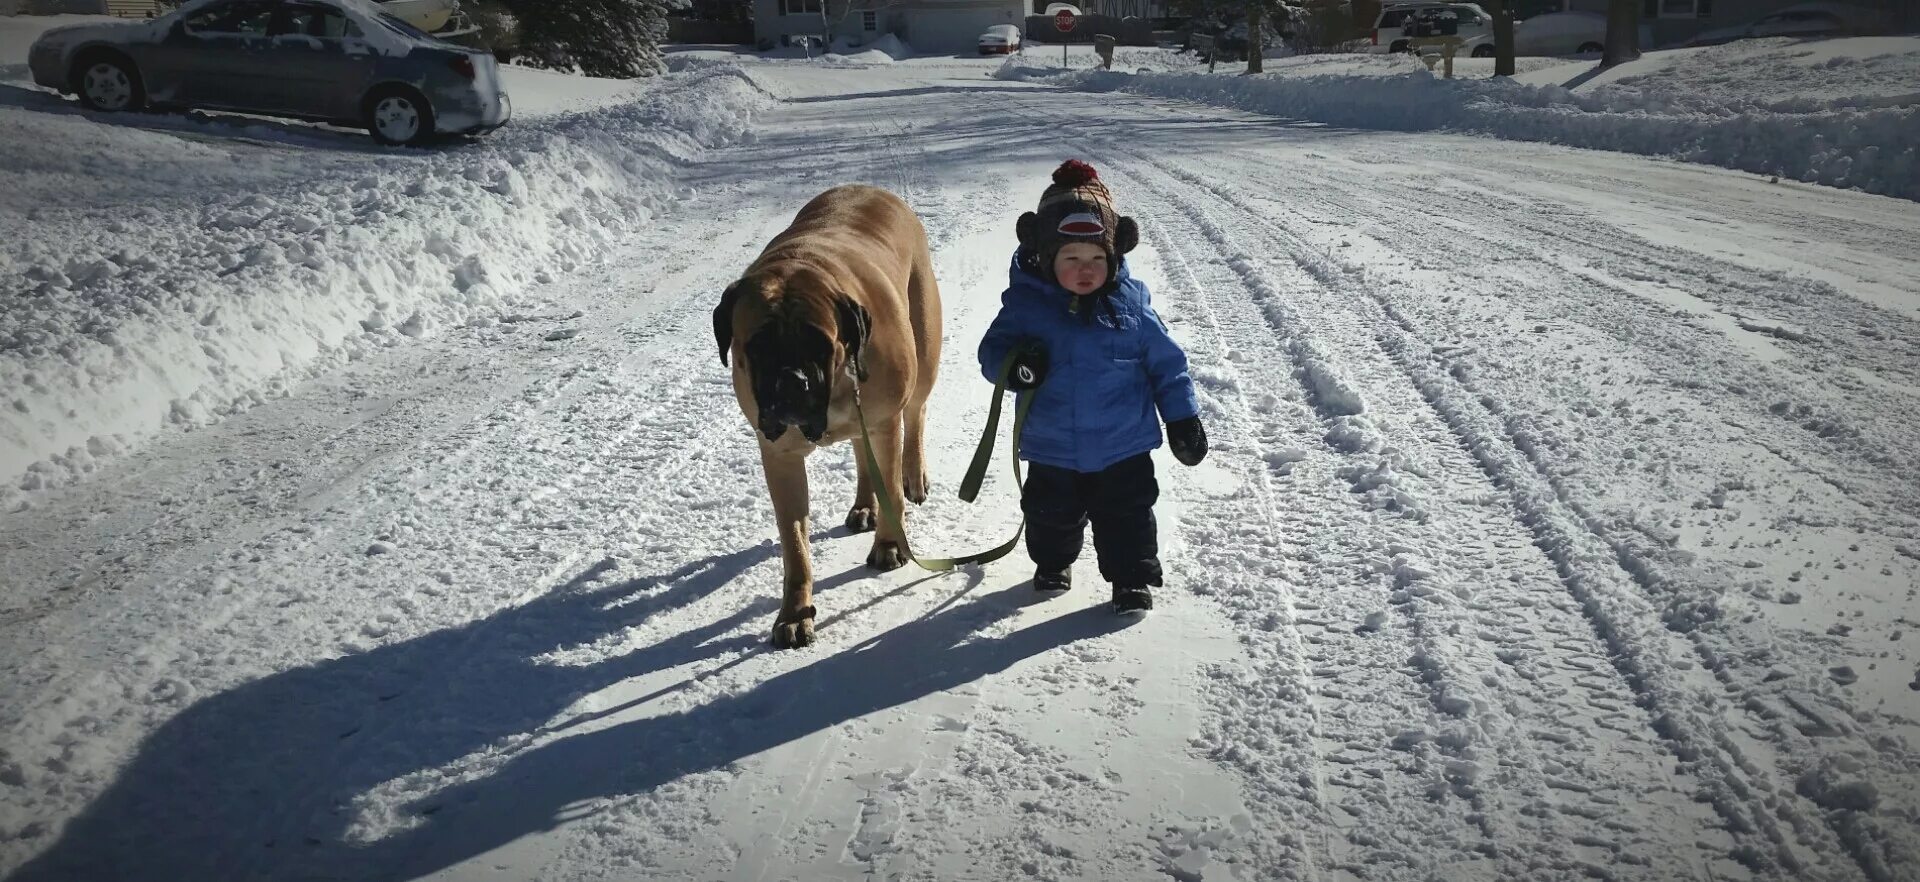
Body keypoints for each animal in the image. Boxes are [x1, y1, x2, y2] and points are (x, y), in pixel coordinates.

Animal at [714, 184, 944, 649]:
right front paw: (793, 614)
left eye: (820, 343)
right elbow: (795, 542)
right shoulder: (780, 456)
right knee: (860, 450)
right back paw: (863, 505)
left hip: (924, 349)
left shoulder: (884, 422)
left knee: (915, 415)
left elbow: (891, 488)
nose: (791, 380)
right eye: (758, 346)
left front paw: (890, 546)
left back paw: (913, 476)